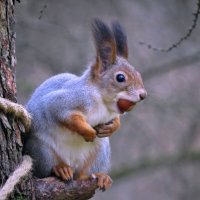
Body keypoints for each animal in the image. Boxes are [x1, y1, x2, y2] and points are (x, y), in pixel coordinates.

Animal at [19, 19, 147, 191]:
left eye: (138, 74)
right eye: (120, 78)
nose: (143, 95)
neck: (103, 102)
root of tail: (72, 165)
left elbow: (115, 121)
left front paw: (112, 127)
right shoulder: (65, 101)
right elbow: (64, 115)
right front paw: (88, 132)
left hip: (99, 154)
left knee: (82, 175)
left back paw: (99, 176)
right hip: (42, 150)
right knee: (46, 170)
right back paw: (60, 169)